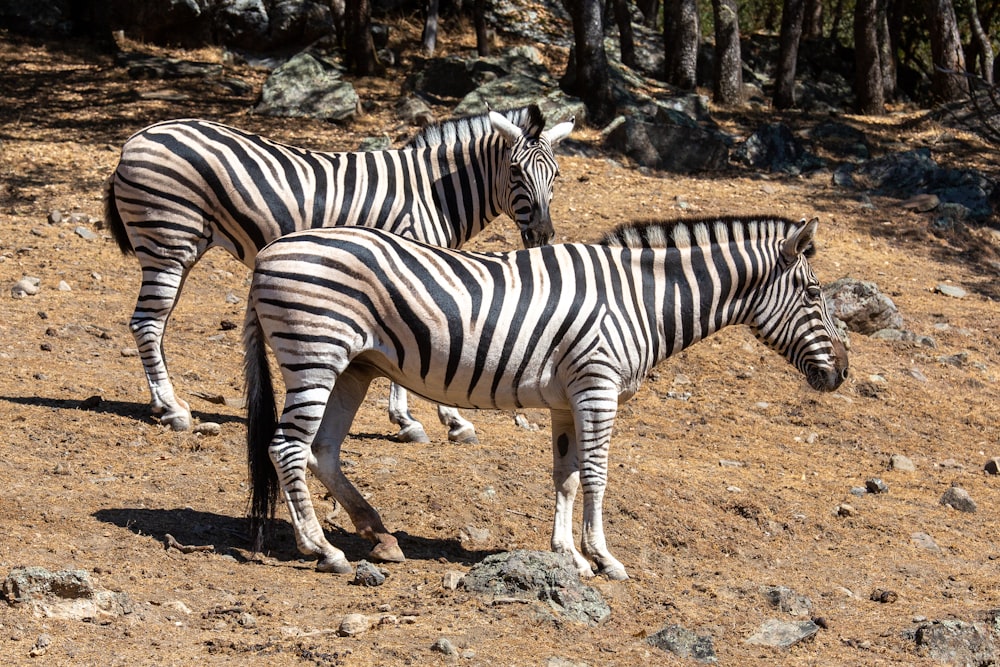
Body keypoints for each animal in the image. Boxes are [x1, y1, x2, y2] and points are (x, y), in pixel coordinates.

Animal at [105, 104, 576, 438]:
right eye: (515, 171)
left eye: (555, 175)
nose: (542, 235)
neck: (436, 194)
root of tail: (135, 139)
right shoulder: (411, 257)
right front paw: (431, 419)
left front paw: (429, 417)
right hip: (168, 242)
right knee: (147, 323)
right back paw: (173, 409)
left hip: (176, 245)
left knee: (151, 323)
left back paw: (160, 404)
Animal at [240, 213, 844, 580]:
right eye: (814, 293)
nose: (842, 372)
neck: (639, 299)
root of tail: (269, 251)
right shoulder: (598, 387)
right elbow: (598, 476)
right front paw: (603, 558)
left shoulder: (566, 400)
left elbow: (567, 476)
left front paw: (568, 556)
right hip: (315, 354)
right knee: (288, 449)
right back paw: (324, 549)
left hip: (355, 366)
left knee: (322, 451)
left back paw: (379, 535)